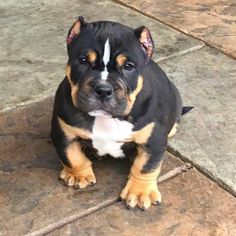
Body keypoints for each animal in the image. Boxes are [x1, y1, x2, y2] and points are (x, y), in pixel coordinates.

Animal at [51, 16, 186, 209]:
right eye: (83, 61)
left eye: (129, 66)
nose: (103, 89)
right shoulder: (64, 130)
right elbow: (71, 156)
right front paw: (78, 174)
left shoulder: (154, 140)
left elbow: (146, 167)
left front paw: (140, 192)